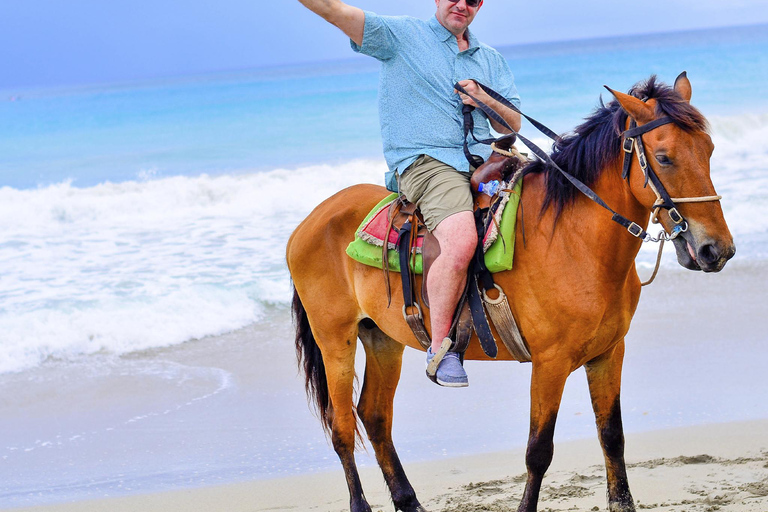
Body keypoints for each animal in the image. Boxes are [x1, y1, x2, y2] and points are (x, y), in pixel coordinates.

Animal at [284, 73, 736, 512]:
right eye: (664, 157)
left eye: (709, 150)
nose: (717, 250)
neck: (573, 239)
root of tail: (312, 220)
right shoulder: (551, 363)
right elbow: (539, 451)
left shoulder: (609, 353)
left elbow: (612, 436)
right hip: (335, 341)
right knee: (342, 427)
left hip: (381, 338)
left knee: (375, 416)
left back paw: (409, 501)